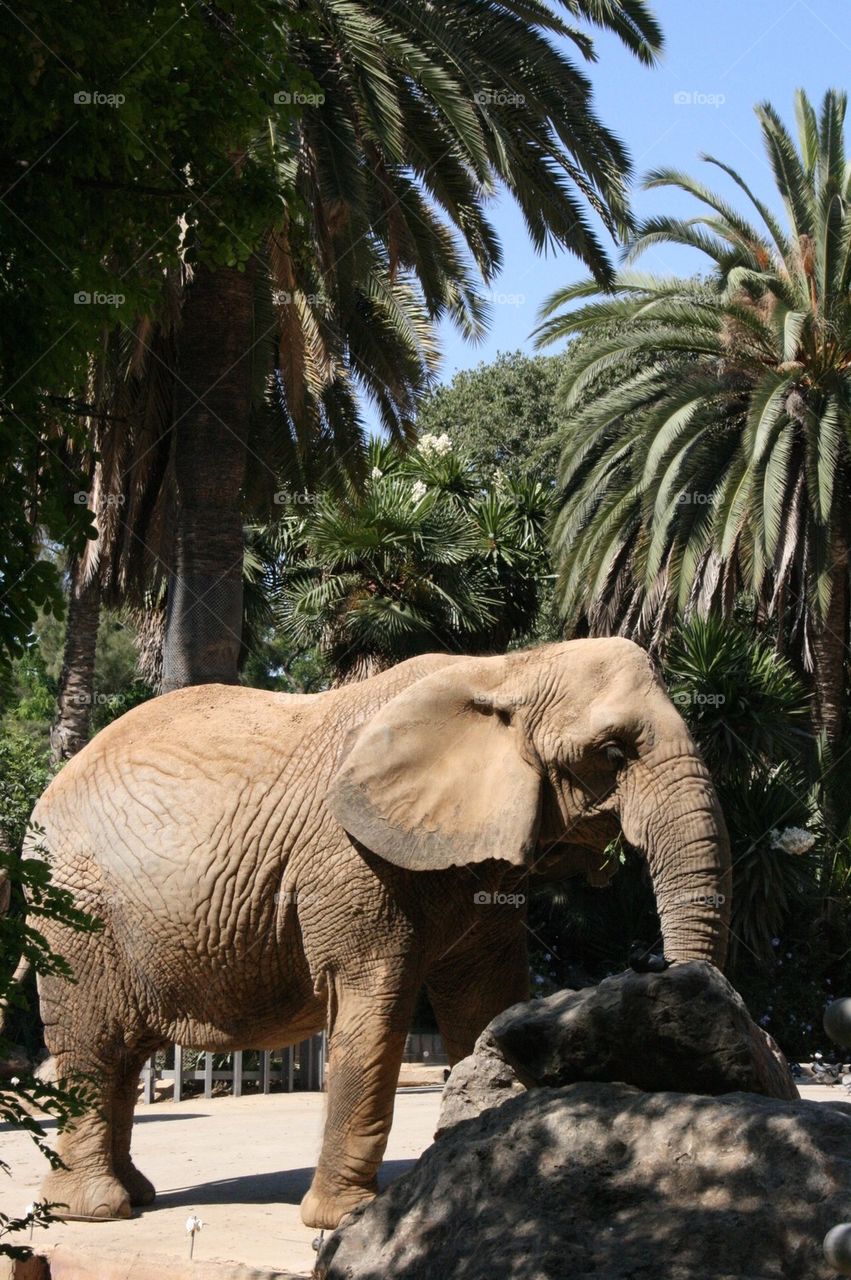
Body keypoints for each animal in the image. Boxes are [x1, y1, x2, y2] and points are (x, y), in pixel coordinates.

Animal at [22, 637, 731, 1229]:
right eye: (611, 754)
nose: (652, 966)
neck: (508, 669)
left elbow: (488, 1000)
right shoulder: (352, 861)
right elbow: (376, 1006)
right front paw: (345, 1220)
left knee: (122, 1053)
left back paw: (134, 1195)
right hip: (74, 913)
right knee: (94, 1045)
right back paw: (97, 1210)